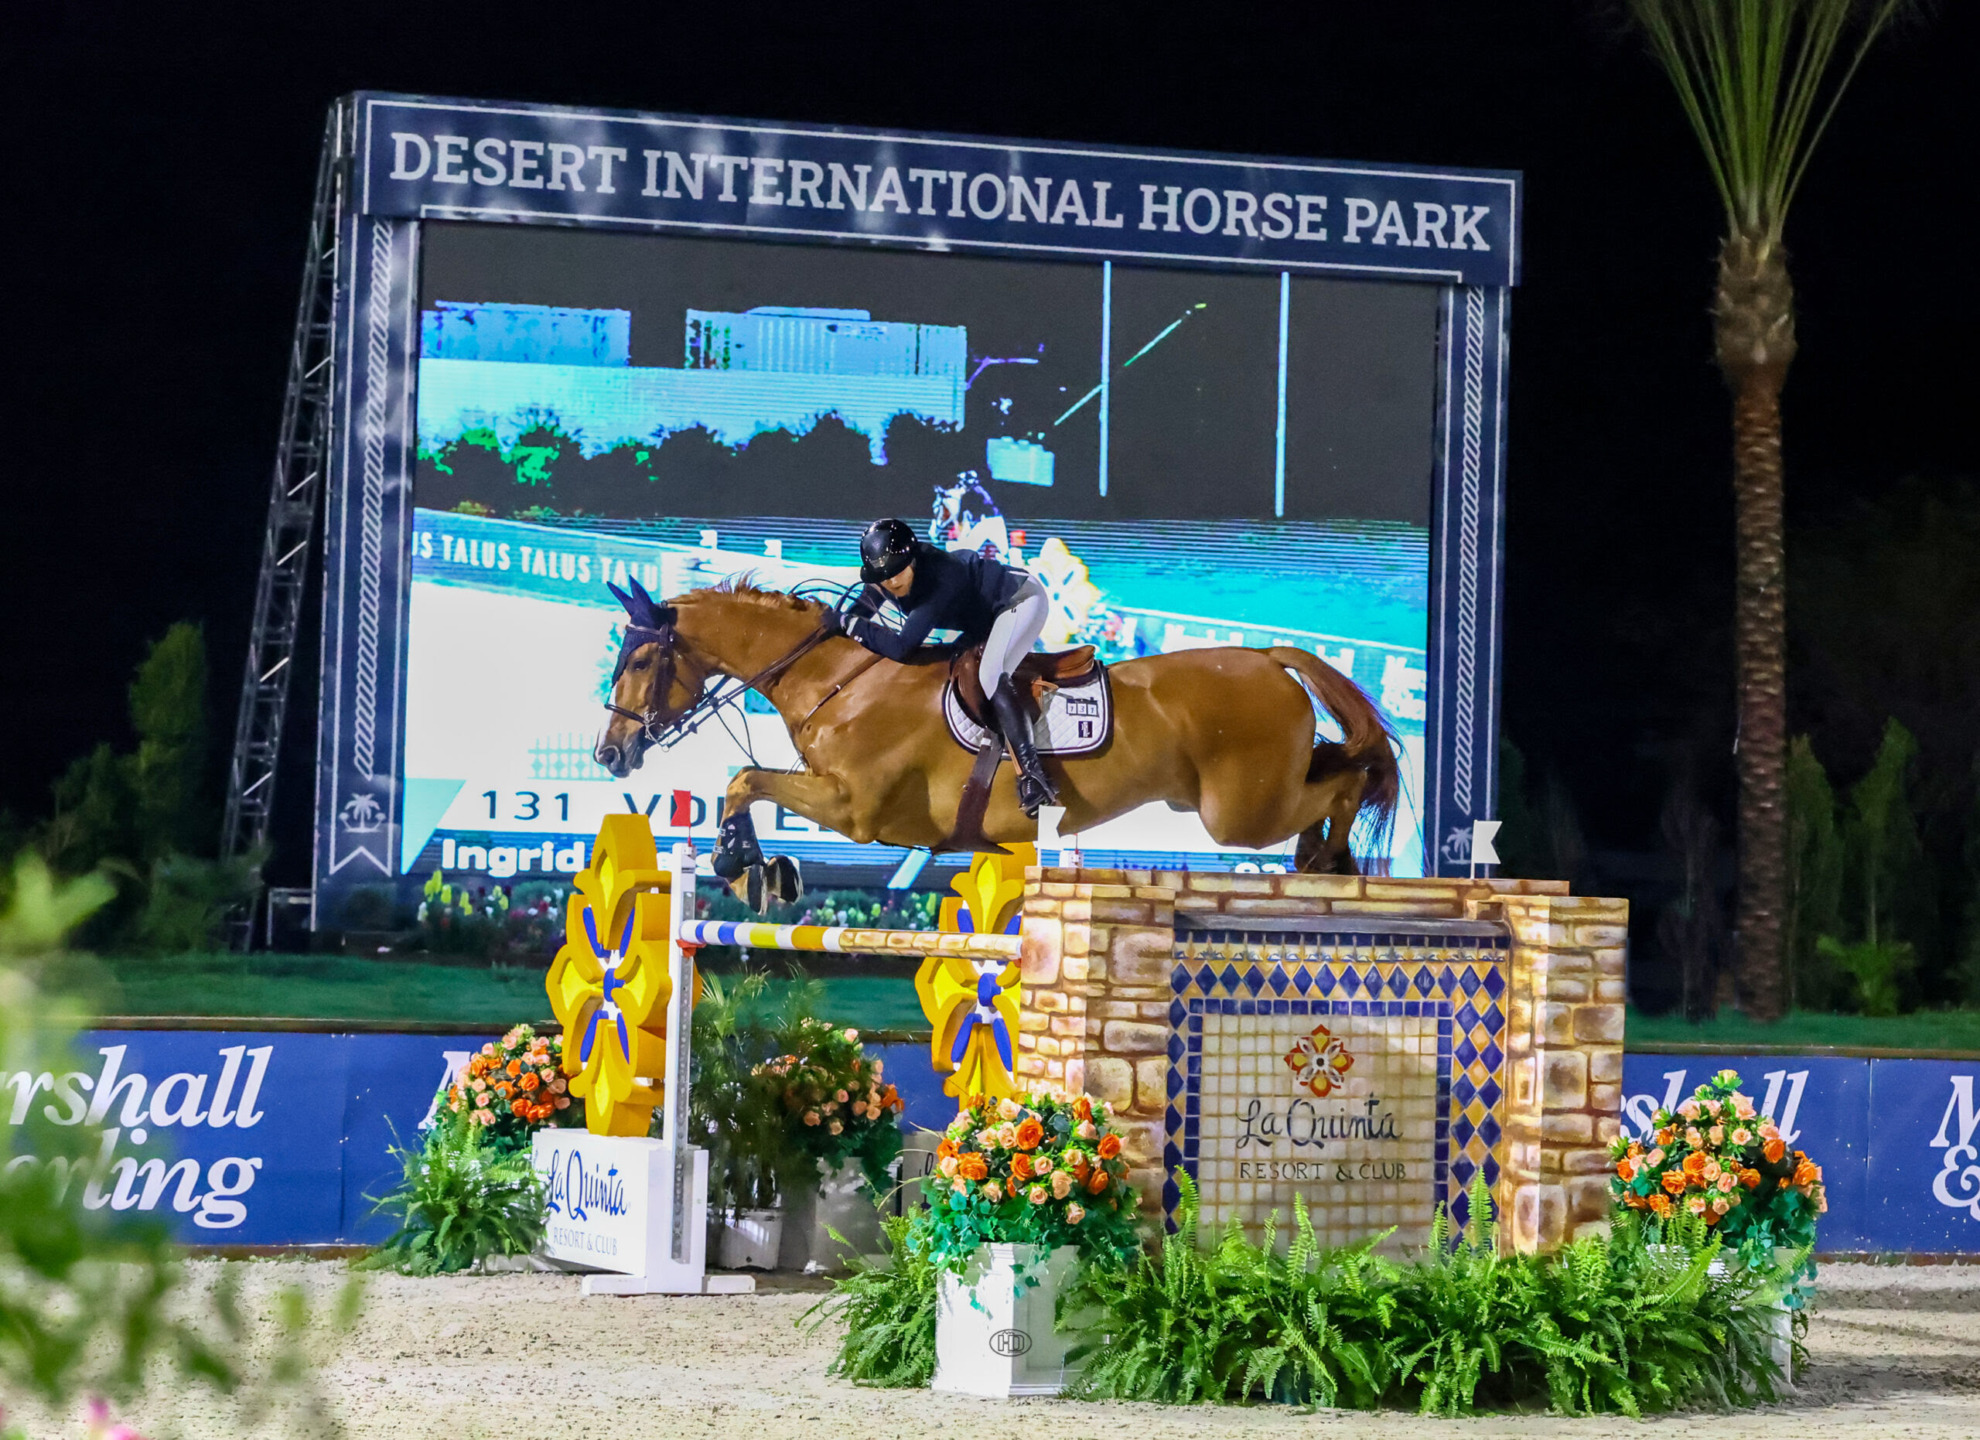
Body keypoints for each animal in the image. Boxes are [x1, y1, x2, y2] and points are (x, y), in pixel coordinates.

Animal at [594, 578, 1401, 891]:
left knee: (1345, 781)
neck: (841, 681)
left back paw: (1330, 858)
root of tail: (1267, 657)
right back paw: (1325, 860)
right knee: (1336, 767)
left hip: (1237, 812)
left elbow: (744, 780)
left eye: (639, 660)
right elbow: (745, 782)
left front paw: (741, 864)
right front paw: (756, 868)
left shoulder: (856, 811)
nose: (610, 753)